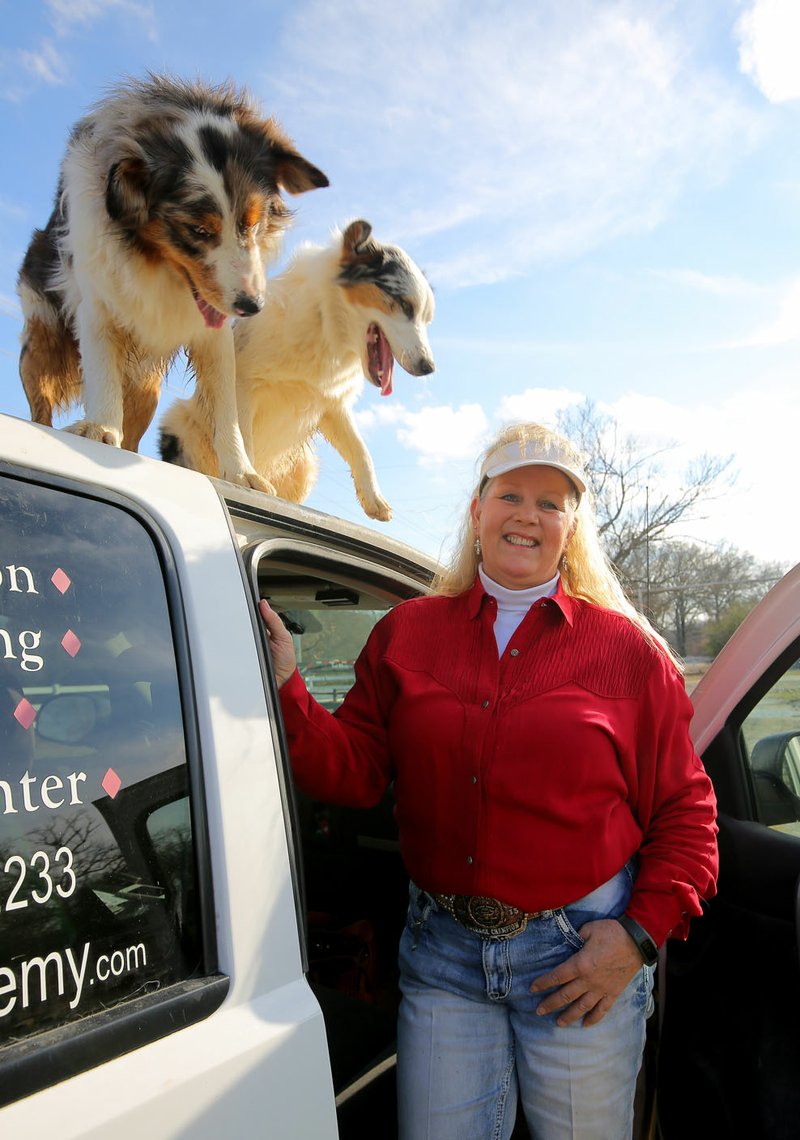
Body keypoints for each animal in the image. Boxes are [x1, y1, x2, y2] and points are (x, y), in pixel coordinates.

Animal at [157, 218, 437, 522]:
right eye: (405, 305)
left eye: (427, 318)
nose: (429, 367)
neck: (326, 324)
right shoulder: (244, 386)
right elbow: (242, 435)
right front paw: (247, 479)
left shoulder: (332, 404)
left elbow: (360, 449)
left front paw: (374, 500)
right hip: (179, 420)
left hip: (305, 468)